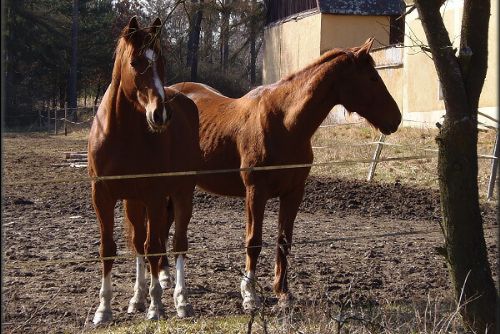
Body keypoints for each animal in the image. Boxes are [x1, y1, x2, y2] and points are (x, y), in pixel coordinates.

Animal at [88, 17, 199, 324]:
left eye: (160, 62)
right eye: (136, 62)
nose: (160, 115)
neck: (120, 135)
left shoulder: (154, 195)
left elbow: (155, 248)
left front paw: (156, 305)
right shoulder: (103, 196)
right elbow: (109, 248)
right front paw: (104, 309)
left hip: (181, 194)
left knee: (177, 242)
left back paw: (181, 301)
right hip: (134, 203)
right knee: (138, 243)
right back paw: (137, 298)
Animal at [170, 39, 400, 310]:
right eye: (373, 77)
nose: (396, 118)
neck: (285, 124)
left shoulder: (293, 193)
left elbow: (284, 240)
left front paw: (282, 293)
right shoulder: (256, 193)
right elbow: (254, 242)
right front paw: (249, 295)